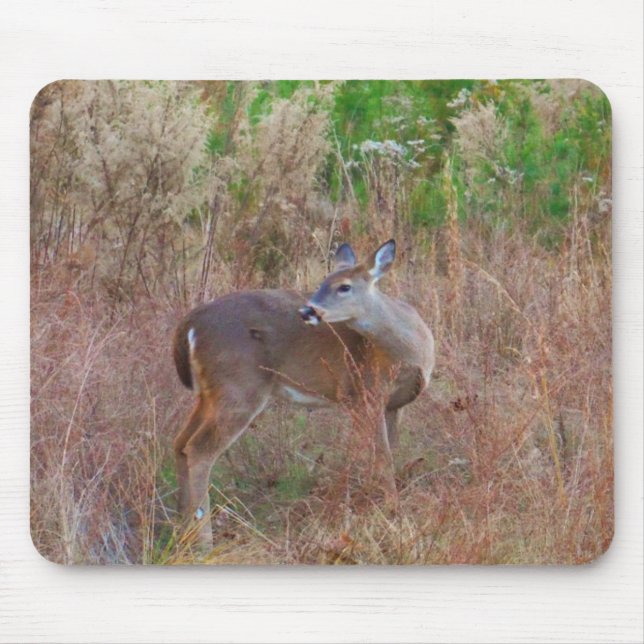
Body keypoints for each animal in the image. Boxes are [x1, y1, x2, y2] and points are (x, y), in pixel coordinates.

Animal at [172, 239, 435, 549]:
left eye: (344, 286)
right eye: (323, 282)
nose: (308, 311)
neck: (412, 351)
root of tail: (189, 324)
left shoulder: (393, 405)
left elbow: (387, 452)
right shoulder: (362, 393)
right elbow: (382, 458)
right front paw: (393, 513)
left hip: (209, 393)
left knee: (179, 443)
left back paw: (181, 528)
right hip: (239, 388)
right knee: (199, 449)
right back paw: (204, 542)